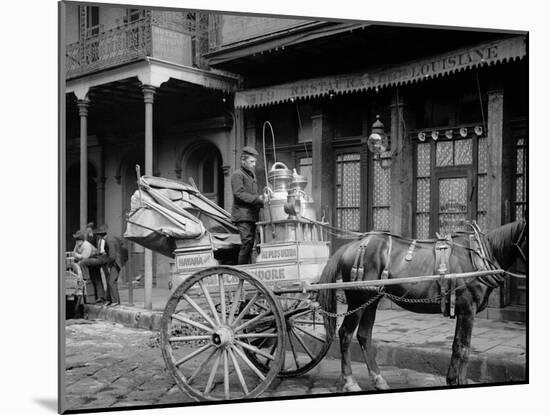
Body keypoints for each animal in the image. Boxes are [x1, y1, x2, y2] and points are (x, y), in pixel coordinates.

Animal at [320, 221, 532, 394]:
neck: (480, 256)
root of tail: (352, 245)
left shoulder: (461, 310)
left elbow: (456, 345)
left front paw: (451, 379)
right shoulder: (468, 309)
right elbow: (464, 348)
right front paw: (461, 381)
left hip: (372, 299)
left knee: (364, 335)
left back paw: (379, 380)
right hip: (358, 298)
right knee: (346, 333)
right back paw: (350, 382)